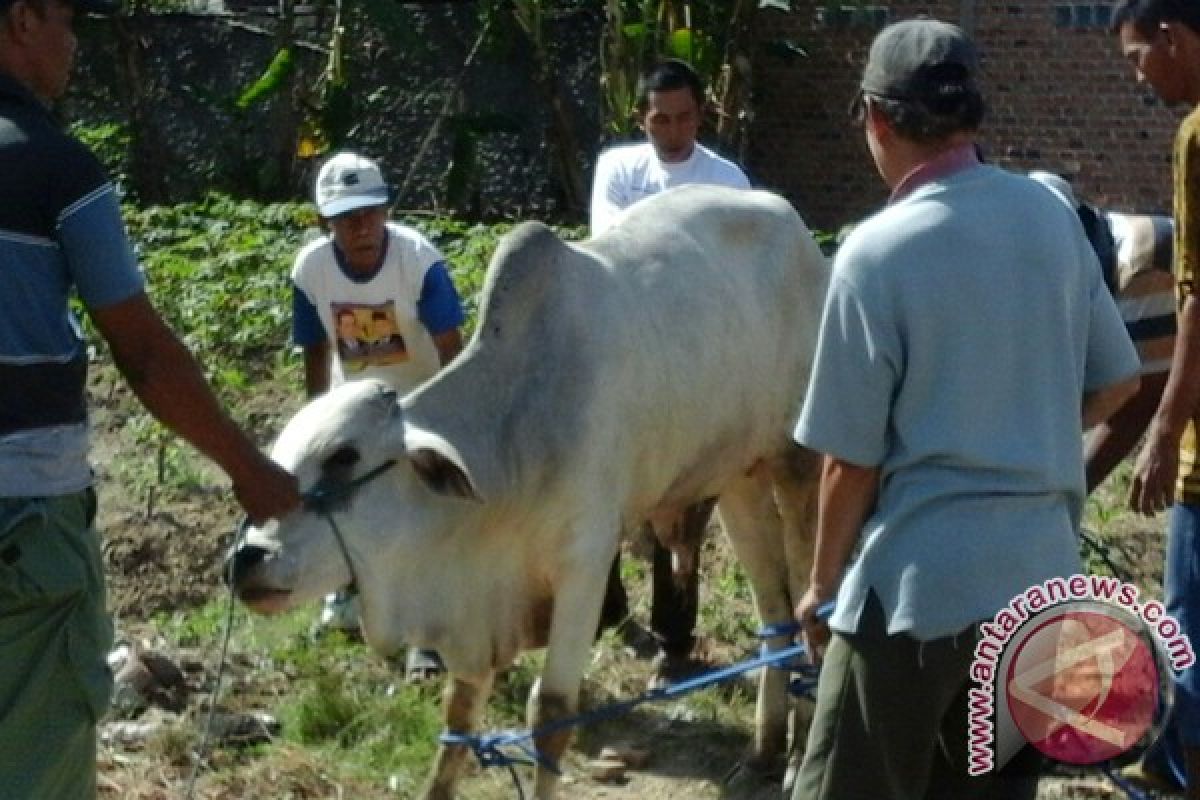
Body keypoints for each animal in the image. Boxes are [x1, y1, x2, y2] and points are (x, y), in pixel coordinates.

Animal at [235, 184, 835, 796]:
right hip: (739, 477)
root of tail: (794, 227)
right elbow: (458, 715)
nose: (245, 561)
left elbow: (550, 714)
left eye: (342, 457)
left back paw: (795, 757)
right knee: (774, 610)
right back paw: (763, 752)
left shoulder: (584, 565)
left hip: (799, 465)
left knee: (813, 608)